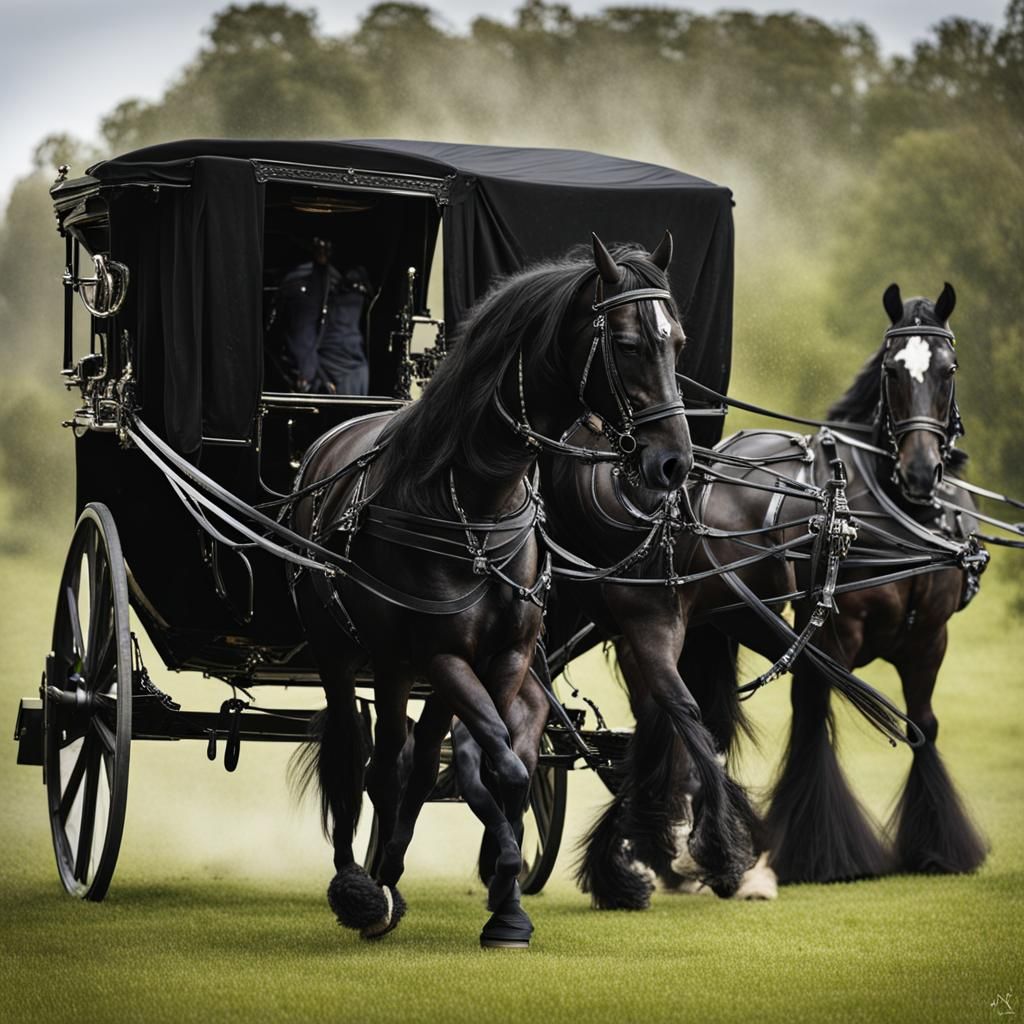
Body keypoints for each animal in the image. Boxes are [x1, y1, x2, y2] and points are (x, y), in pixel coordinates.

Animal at [288, 234, 692, 946]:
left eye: (677, 341)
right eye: (625, 344)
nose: (674, 462)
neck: (471, 499)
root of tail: (329, 439)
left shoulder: (503, 656)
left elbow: (505, 763)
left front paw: (505, 901)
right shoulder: (441, 653)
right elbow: (500, 764)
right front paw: (499, 888)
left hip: (407, 667)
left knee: (413, 760)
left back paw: (389, 872)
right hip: (348, 652)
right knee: (360, 758)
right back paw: (359, 887)